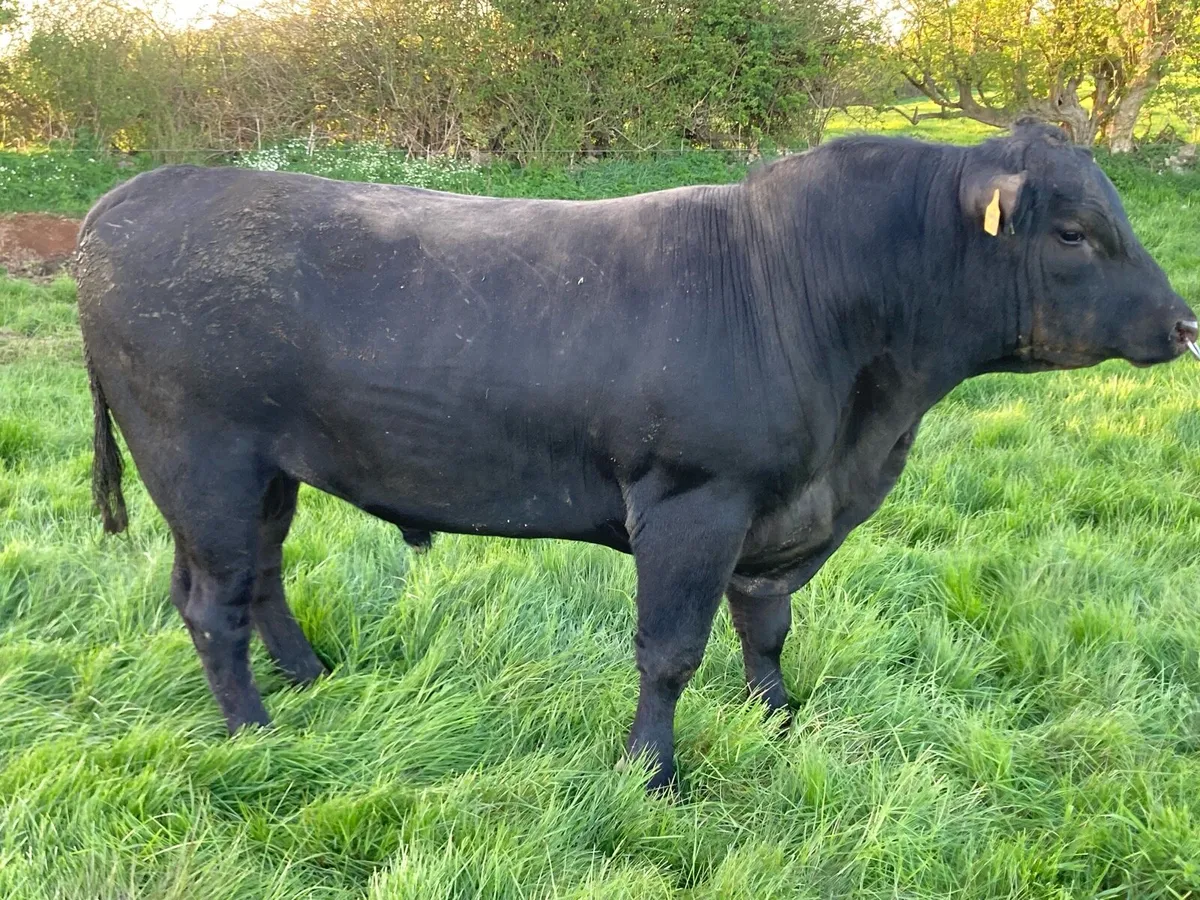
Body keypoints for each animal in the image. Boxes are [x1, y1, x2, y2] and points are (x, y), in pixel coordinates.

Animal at [74, 120, 1196, 792]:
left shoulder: (776, 514)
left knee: (261, 578)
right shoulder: (694, 504)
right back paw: (257, 731)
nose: (1186, 324)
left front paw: (778, 721)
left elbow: (766, 629)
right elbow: (670, 652)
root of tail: (126, 202)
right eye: (1071, 232)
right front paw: (652, 773)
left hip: (269, 472)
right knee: (211, 602)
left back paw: (310, 678)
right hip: (202, 464)